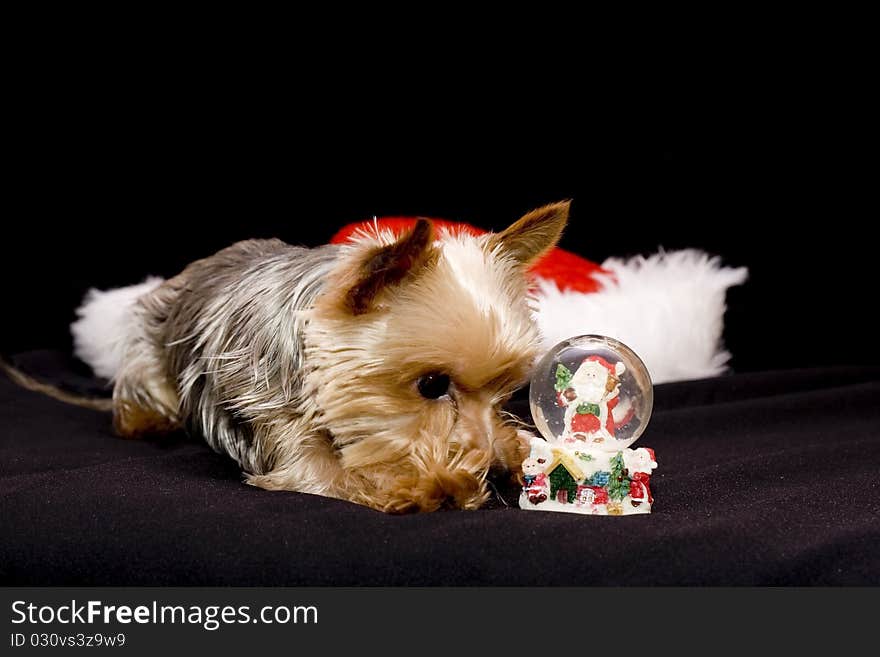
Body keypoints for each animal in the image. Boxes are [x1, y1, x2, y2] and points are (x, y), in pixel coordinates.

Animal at [67, 200, 564, 512]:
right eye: (432, 385)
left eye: (508, 390)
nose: (499, 473)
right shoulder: (276, 420)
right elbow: (328, 472)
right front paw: (433, 485)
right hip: (146, 353)